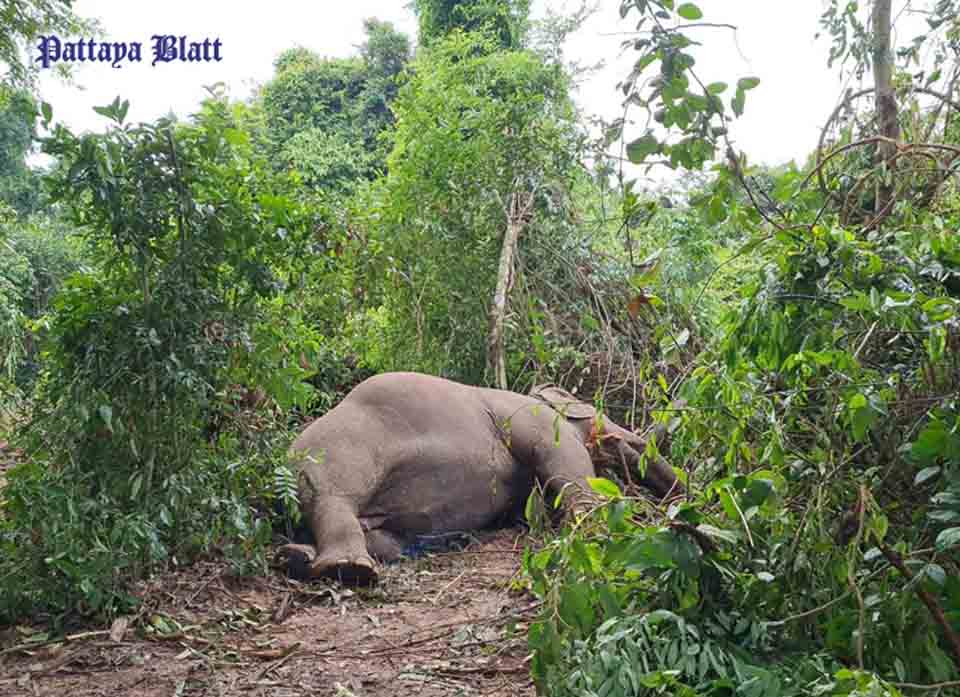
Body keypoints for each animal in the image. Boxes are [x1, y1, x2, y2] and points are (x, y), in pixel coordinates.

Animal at [282, 372, 680, 584]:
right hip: (334, 452)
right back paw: (349, 570)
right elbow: (560, 456)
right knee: (336, 499)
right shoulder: (531, 417)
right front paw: (594, 526)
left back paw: (297, 558)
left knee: (382, 539)